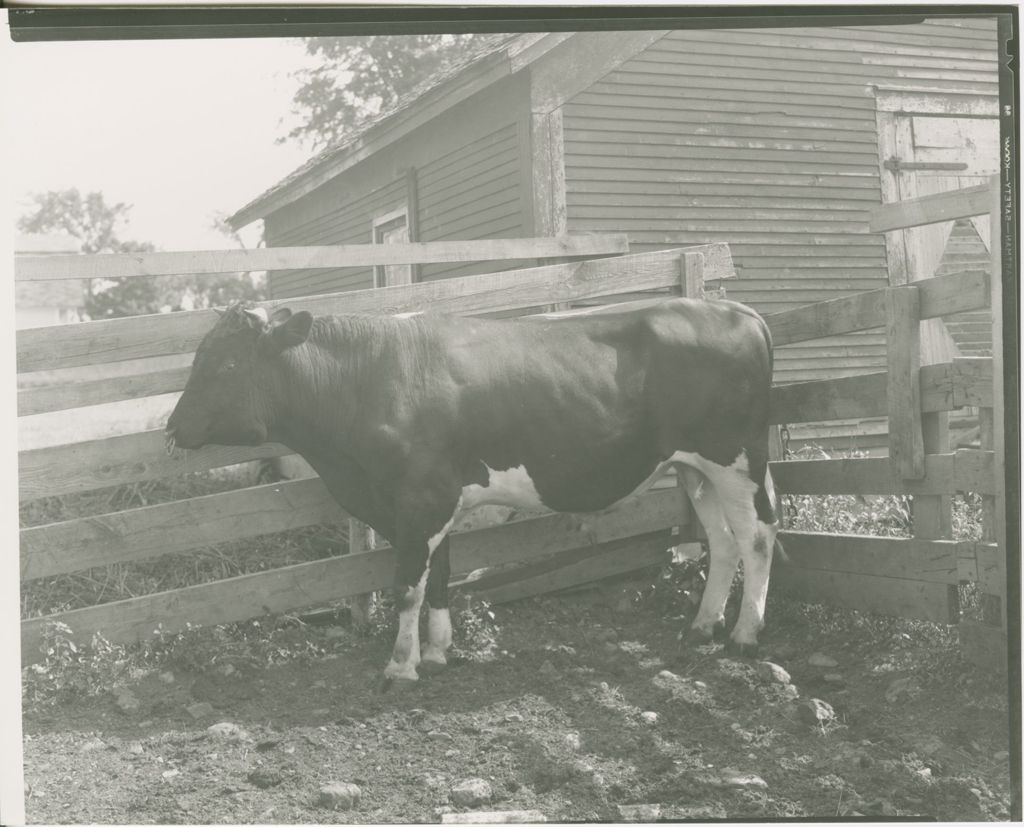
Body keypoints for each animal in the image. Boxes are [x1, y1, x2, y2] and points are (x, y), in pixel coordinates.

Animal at [165, 300, 774, 679]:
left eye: (226, 363)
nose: (172, 426)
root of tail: (736, 311)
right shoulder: (433, 501)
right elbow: (439, 576)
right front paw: (438, 652)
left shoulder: (420, 498)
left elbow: (407, 585)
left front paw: (401, 664)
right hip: (696, 469)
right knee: (722, 540)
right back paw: (701, 626)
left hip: (736, 459)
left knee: (757, 537)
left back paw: (745, 635)